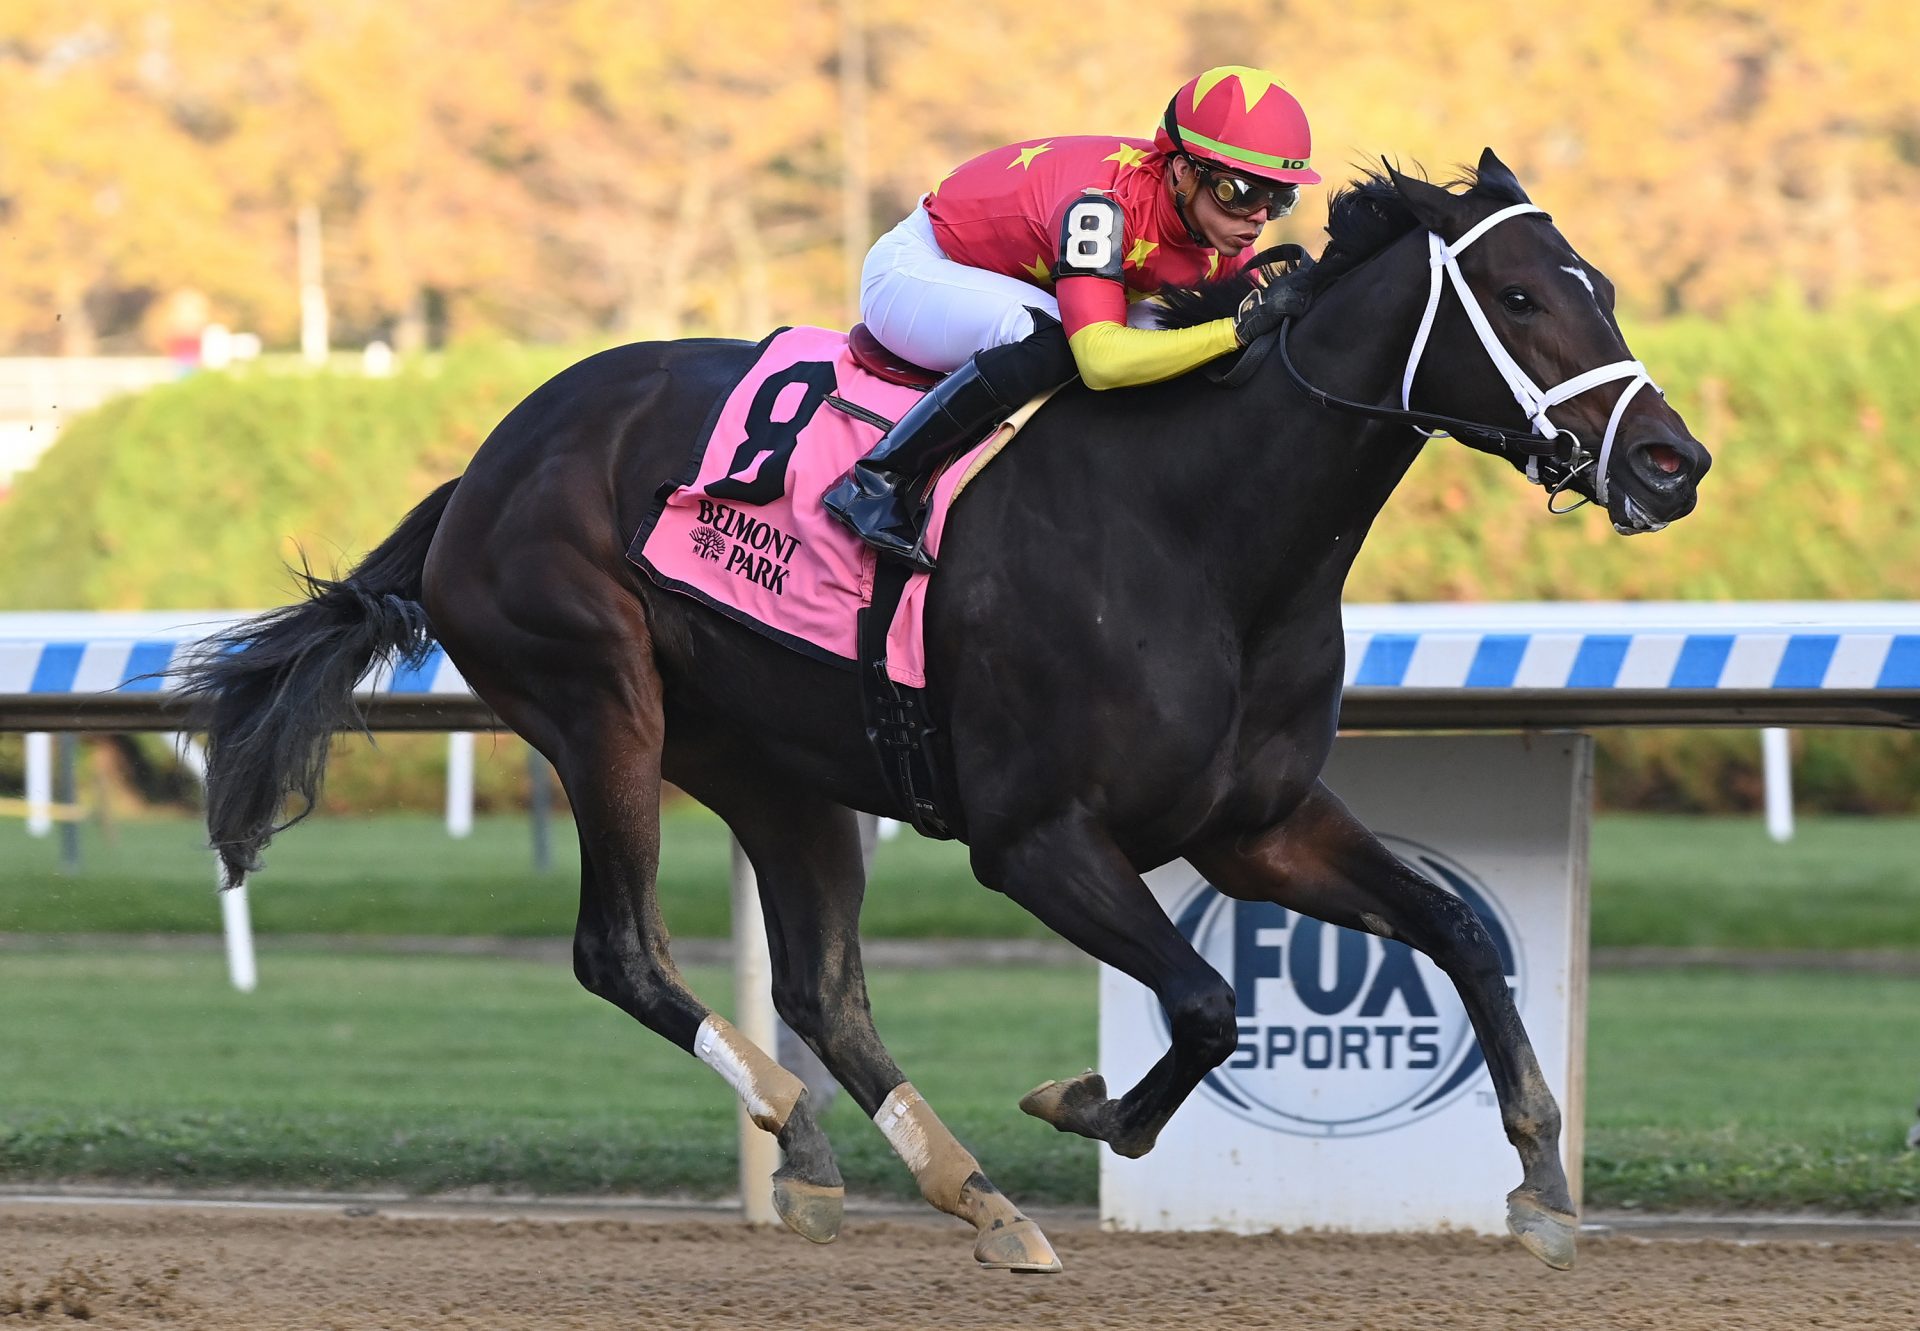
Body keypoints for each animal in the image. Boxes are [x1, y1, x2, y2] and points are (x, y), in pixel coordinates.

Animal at [180, 150, 1712, 1275]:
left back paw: (955, 1185)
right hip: (600, 700)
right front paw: (1087, 1106)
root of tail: (485, 465)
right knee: (622, 949)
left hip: (777, 768)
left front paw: (1542, 1172)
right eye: (1519, 296)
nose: (1672, 459)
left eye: (1600, 284)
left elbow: (1459, 930)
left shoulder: (1257, 827)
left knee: (821, 987)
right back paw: (794, 1113)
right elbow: (1207, 1001)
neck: (1199, 537)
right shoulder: (1033, 838)